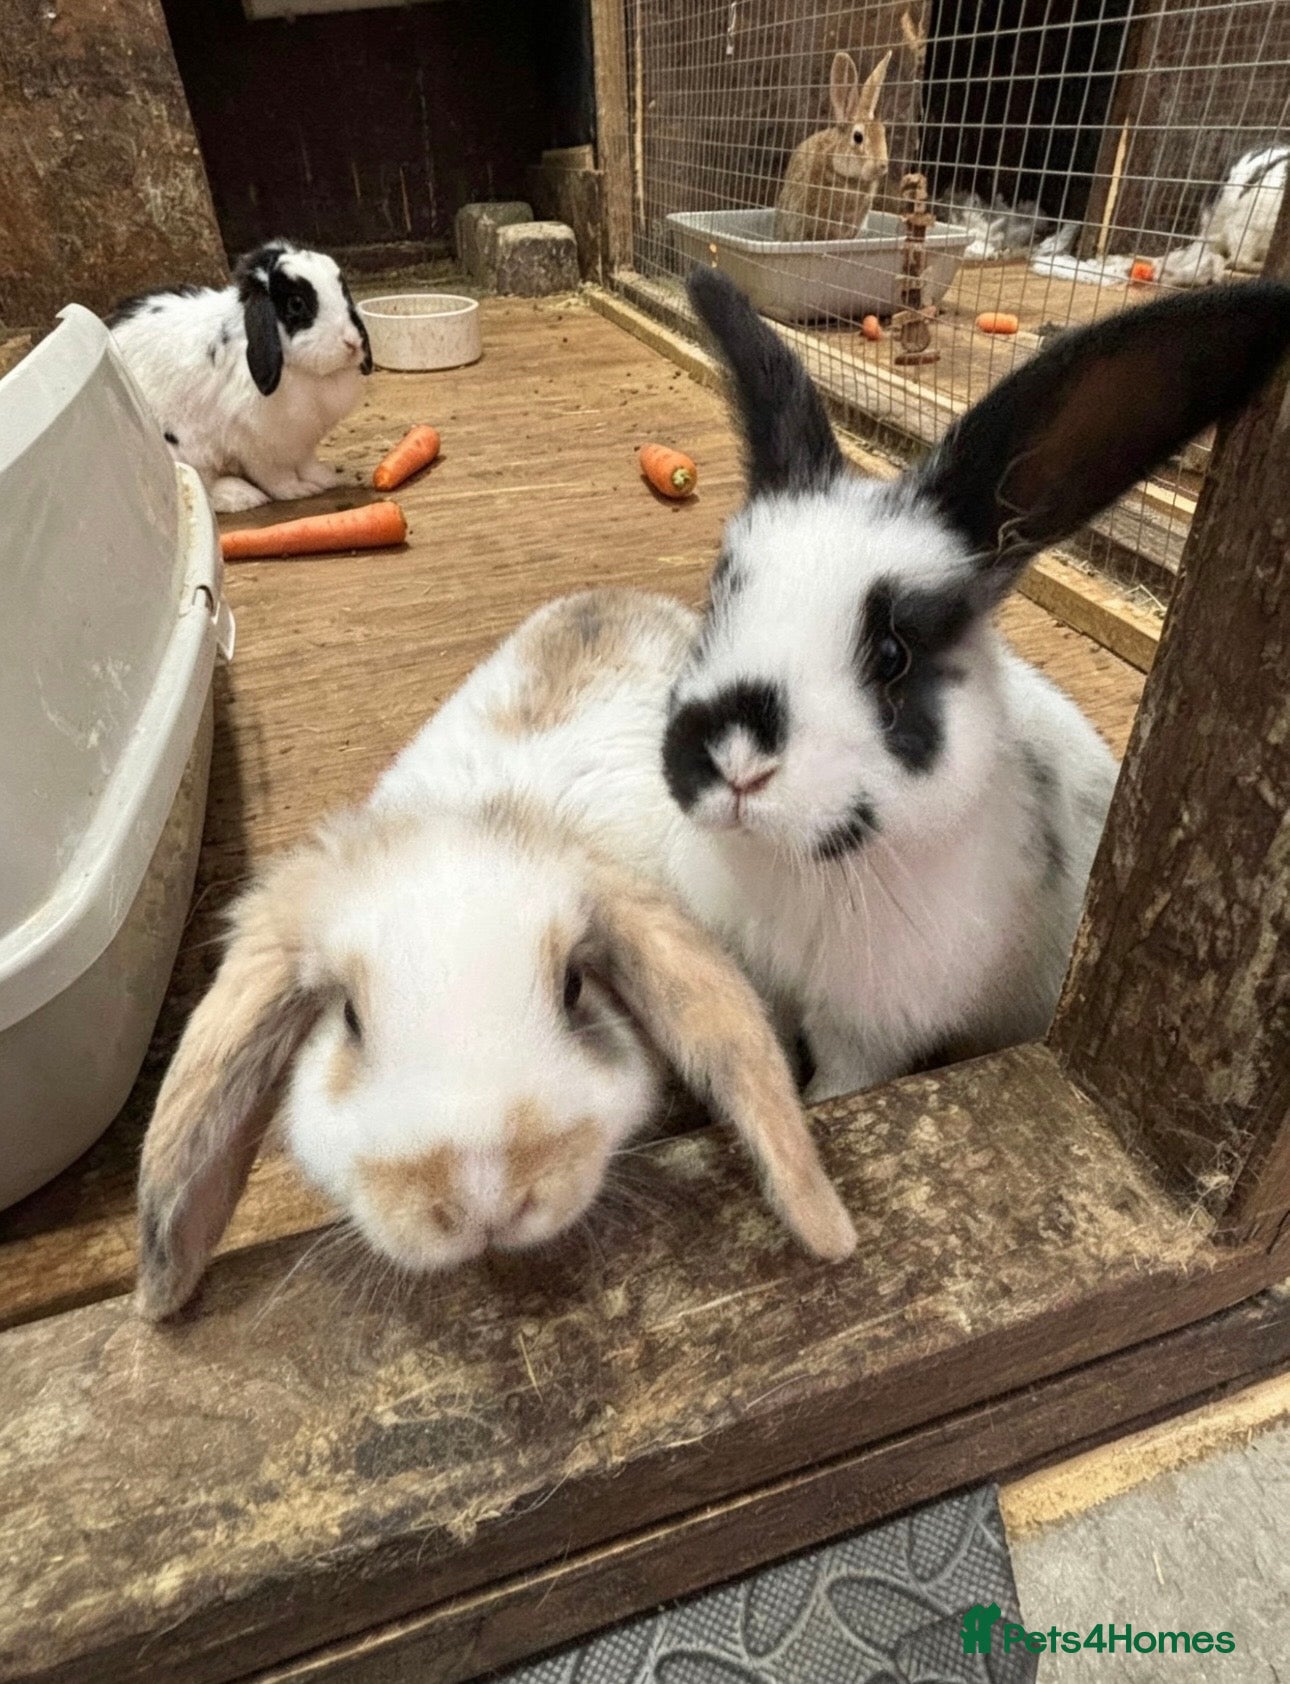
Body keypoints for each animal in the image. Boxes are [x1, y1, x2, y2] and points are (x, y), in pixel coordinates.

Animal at [106, 239, 372, 515]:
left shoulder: (301, 443)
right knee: (205, 486)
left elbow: (307, 463)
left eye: (344, 292)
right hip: (184, 449)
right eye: (296, 303)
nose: (352, 343)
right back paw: (241, 496)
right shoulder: (257, 445)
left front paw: (325, 478)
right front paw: (298, 490)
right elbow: (274, 476)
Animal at [663, 268, 1290, 1103]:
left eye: (893, 653)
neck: (784, 871)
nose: (734, 756)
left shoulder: (868, 1036)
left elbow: (836, 1087)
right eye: (721, 593)